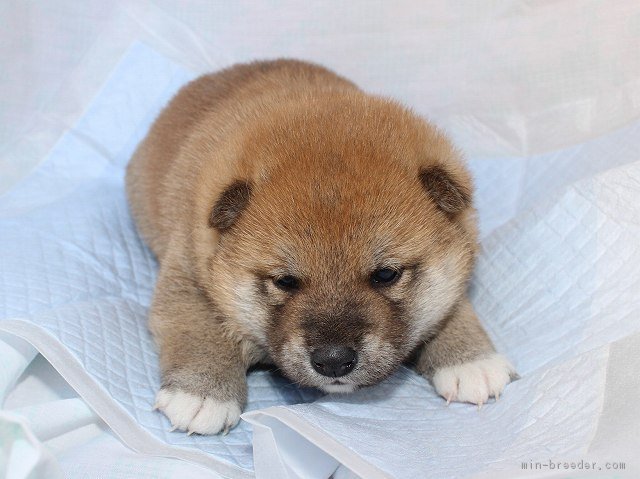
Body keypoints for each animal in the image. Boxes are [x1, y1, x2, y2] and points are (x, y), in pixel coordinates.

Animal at [124, 59, 516, 436]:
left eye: (386, 274)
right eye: (285, 281)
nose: (333, 361)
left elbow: (452, 306)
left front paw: (470, 359)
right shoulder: (187, 273)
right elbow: (199, 329)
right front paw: (202, 395)